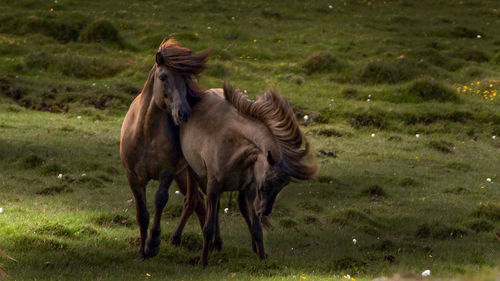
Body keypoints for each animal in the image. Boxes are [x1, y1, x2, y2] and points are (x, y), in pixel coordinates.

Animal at [120, 39, 210, 258]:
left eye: (187, 79)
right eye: (163, 77)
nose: (184, 113)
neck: (146, 133)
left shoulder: (167, 173)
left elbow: (160, 200)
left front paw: (153, 243)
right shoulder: (133, 176)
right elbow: (141, 213)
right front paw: (142, 250)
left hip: (195, 174)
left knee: (201, 201)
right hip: (184, 175)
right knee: (197, 201)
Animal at [180, 82, 316, 264]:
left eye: (282, 186)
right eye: (269, 180)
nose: (265, 211)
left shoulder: (250, 188)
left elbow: (256, 227)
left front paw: (262, 257)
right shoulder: (214, 185)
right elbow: (207, 227)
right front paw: (203, 261)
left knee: (237, 209)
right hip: (193, 172)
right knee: (192, 200)